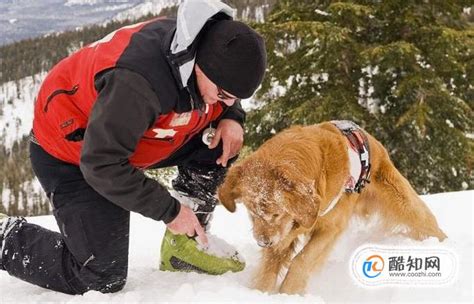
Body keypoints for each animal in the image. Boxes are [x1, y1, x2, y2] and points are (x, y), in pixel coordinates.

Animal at [217, 120, 446, 294]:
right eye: (251, 212)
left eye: (276, 213)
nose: (263, 242)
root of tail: (373, 141)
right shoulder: (283, 234)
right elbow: (270, 268)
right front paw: (261, 293)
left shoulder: (330, 228)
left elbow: (302, 260)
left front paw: (289, 292)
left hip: (405, 205)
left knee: (428, 223)